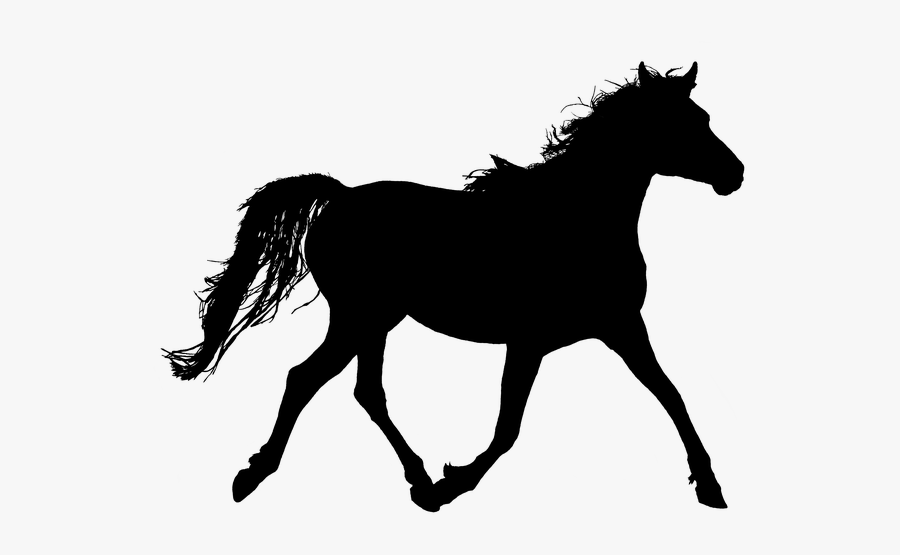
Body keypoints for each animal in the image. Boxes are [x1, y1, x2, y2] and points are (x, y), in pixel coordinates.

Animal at [164, 62, 743, 511]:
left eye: (704, 119)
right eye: (679, 124)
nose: (735, 174)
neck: (575, 221)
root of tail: (341, 195)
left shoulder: (621, 326)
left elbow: (671, 394)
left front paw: (710, 486)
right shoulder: (529, 341)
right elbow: (508, 428)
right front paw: (455, 483)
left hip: (376, 320)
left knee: (362, 390)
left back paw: (415, 478)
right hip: (359, 316)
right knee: (306, 378)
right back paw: (257, 475)